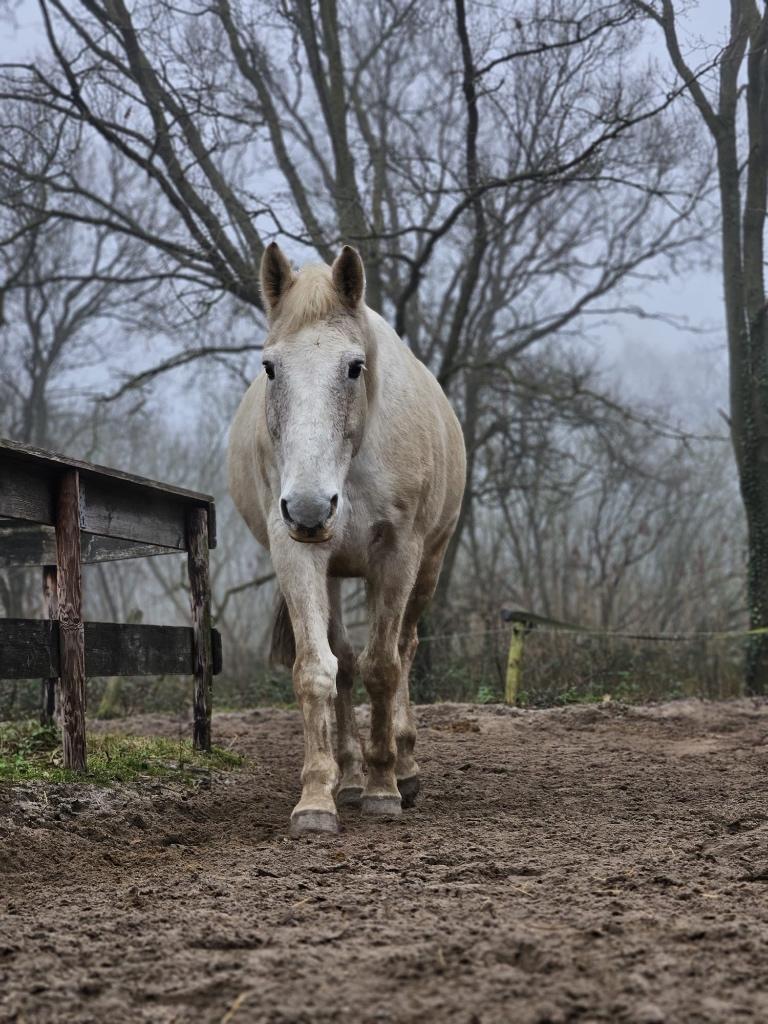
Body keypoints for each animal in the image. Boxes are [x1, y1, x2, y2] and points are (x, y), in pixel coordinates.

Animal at [228, 242, 466, 836]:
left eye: (354, 367)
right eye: (270, 367)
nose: (310, 508)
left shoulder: (398, 554)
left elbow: (384, 668)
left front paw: (385, 789)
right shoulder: (298, 553)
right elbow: (319, 669)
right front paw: (317, 799)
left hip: (427, 567)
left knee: (403, 649)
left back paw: (402, 767)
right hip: (332, 570)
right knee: (344, 661)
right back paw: (351, 777)